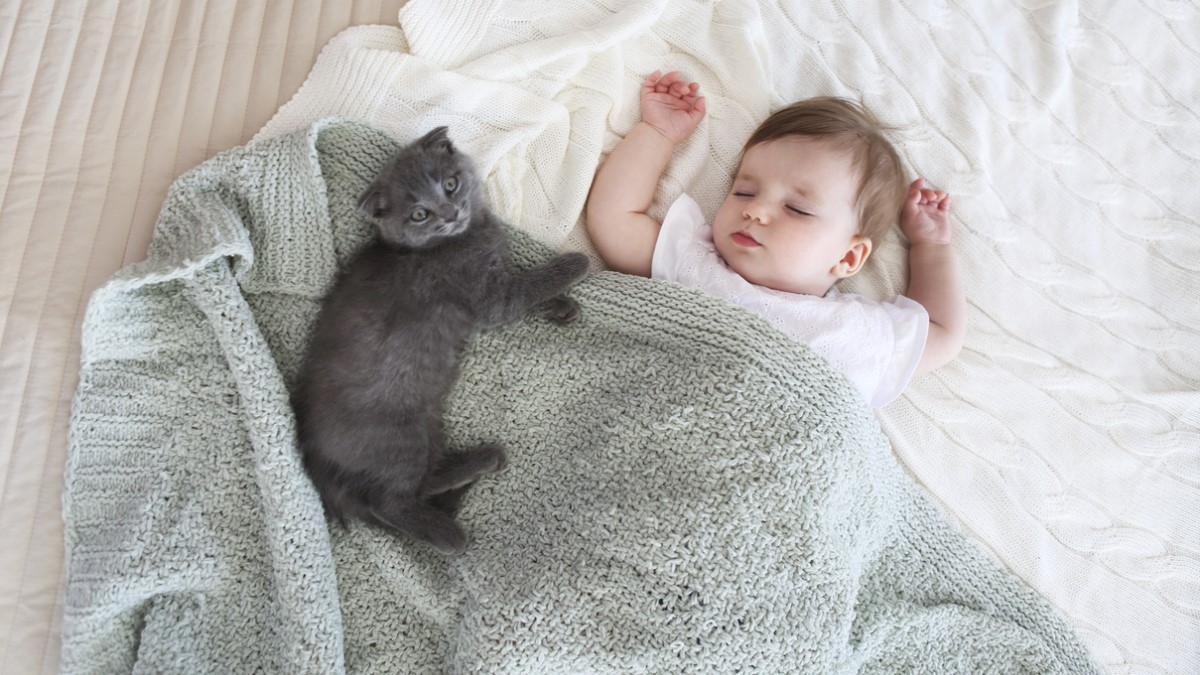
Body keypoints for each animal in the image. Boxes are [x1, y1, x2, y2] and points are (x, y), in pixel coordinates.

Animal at [292, 126, 588, 552]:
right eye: (419, 214)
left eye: (450, 184)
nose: (451, 214)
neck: (466, 236)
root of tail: (318, 464)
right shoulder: (487, 297)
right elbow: (528, 286)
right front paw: (574, 265)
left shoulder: (495, 283)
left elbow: (525, 286)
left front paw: (563, 308)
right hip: (398, 436)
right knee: (392, 502)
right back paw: (452, 533)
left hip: (427, 423)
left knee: (422, 483)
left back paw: (480, 463)